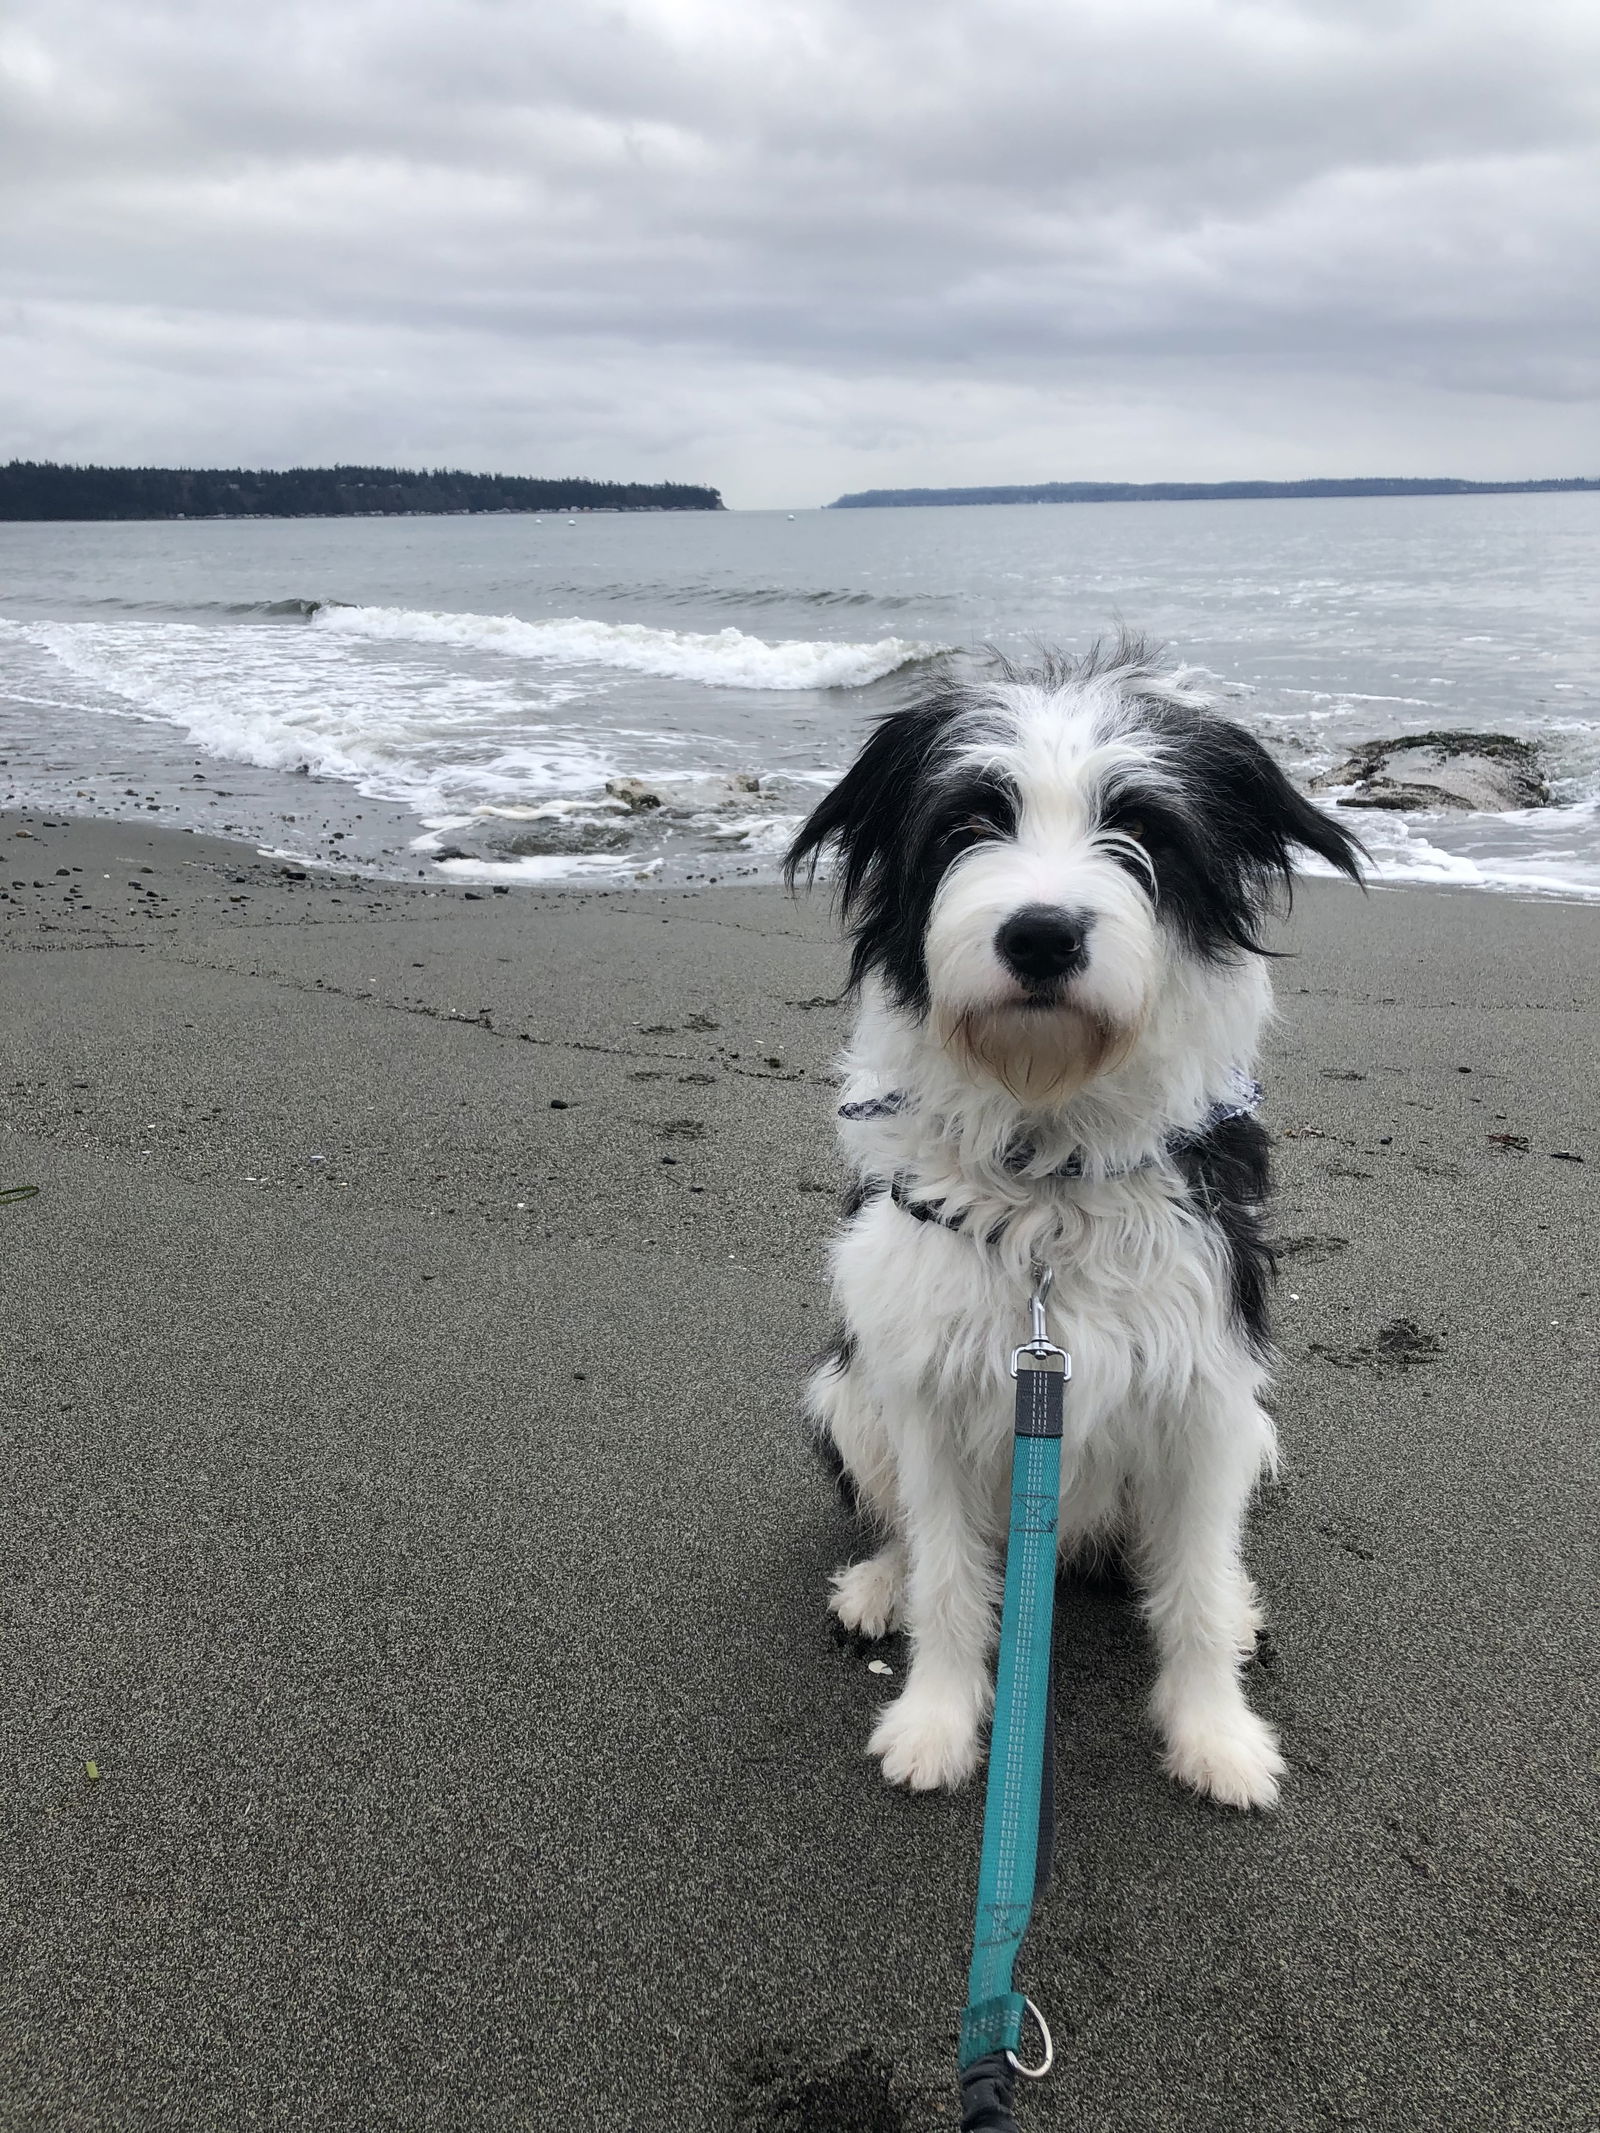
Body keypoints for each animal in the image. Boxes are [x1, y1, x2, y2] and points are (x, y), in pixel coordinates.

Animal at [789, 639, 1365, 1808]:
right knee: (903, 1530)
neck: (1045, 1163)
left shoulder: (1207, 1388)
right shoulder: (928, 1389)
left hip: (1249, 1427)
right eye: (968, 821)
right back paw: (877, 1585)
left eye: (1141, 826)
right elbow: (949, 1573)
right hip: (846, 1390)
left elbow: (1192, 1592)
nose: (1042, 933)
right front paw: (933, 1721)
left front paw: (1216, 1736)